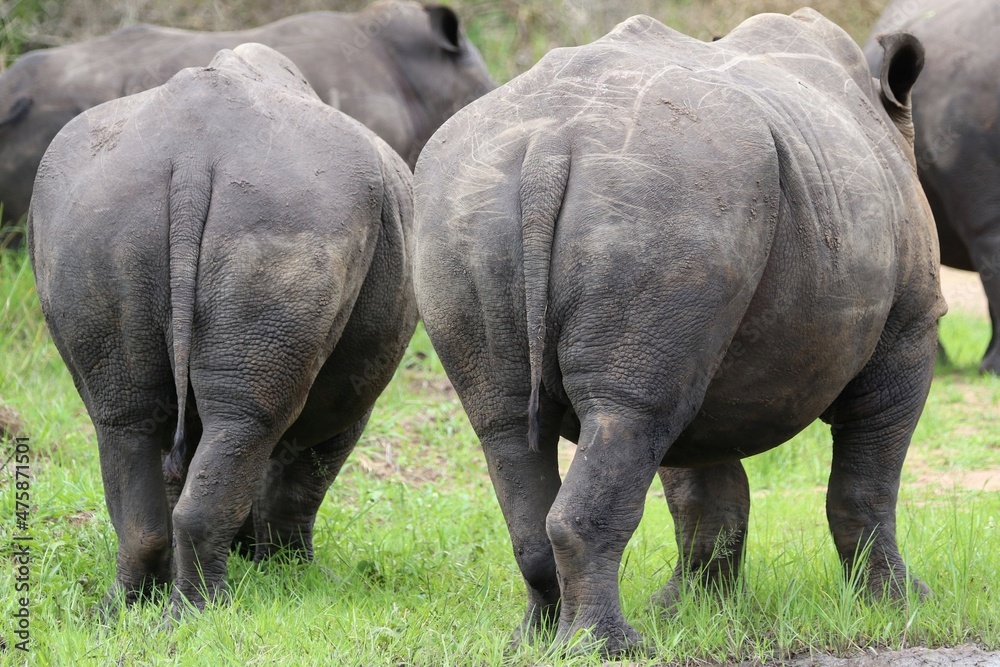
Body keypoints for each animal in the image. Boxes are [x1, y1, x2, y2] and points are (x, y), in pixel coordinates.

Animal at [29, 43, 417, 618]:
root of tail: (192, 155)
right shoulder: (349, 401)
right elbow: (305, 477)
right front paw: (294, 573)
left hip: (96, 215)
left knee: (125, 418)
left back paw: (126, 613)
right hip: (296, 212)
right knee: (248, 423)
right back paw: (202, 614)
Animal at [413, 9, 944, 656]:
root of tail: (551, 144)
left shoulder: (697, 337)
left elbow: (702, 488)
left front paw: (696, 610)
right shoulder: (911, 327)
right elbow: (868, 479)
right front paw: (900, 605)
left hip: (474, 202)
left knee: (514, 419)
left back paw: (536, 643)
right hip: (664, 199)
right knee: (630, 412)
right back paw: (612, 648)